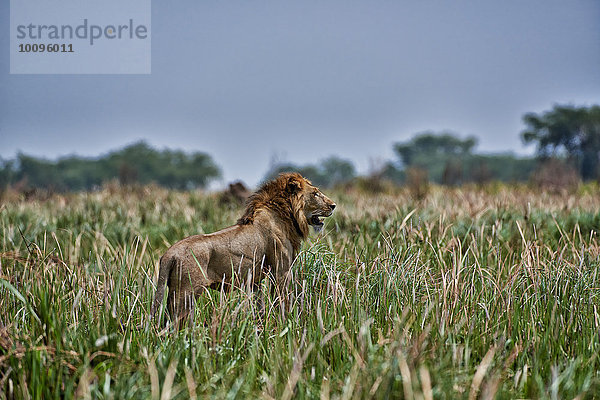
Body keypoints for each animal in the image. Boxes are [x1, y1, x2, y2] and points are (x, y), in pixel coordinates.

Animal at [149, 172, 336, 324]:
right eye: (315, 193)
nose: (333, 205)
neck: (287, 216)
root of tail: (169, 254)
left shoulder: (255, 280)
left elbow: (259, 307)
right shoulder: (281, 271)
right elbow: (282, 302)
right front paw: (285, 325)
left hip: (174, 292)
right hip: (186, 293)